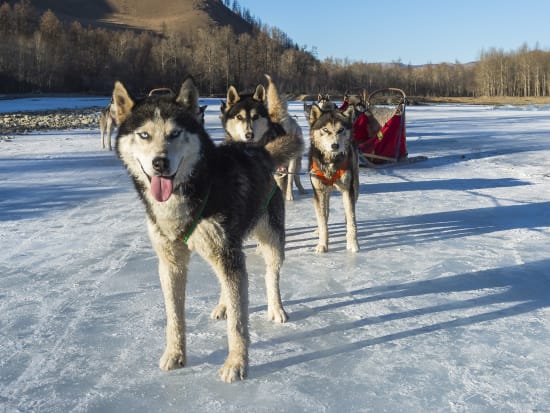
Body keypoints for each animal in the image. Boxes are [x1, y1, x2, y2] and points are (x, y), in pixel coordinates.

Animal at [111, 75, 298, 382]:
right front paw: (175, 354)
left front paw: (236, 363)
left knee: (271, 275)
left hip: (268, 240)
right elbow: (174, 316)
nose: (159, 163)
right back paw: (223, 304)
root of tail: (256, 150)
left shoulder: (228, 254)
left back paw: (276, 308)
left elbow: (238, 324)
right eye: (144, 135)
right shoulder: (171, 262)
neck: (193, 188)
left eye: (175, 134)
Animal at [306, 103, 362, 251]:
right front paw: (322, 244)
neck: (331, 162)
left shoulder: (348, 190)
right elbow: (322, 220)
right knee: (324, 212)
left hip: (355, 186)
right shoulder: (319, 191)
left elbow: (351, 218)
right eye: (325, 129)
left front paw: (352, 243)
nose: (335, 145)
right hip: (323, 192)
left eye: (341, 130)